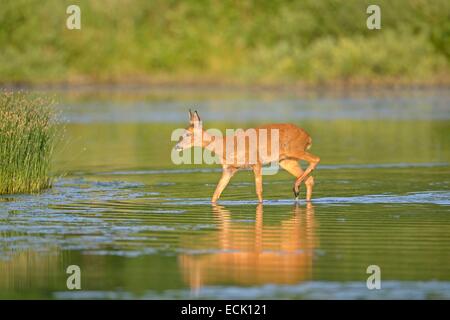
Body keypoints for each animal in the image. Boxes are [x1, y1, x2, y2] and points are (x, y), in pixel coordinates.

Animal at [173, 110, 320, 202]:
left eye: (187, 134)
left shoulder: (256, 163)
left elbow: (259, 191)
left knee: (316, 159)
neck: (225, 145)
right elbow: (216, 193)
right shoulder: (229, 169)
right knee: (310, 179)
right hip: (286, 160)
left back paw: (295, 187)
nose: (177, 147)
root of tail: (308, 137)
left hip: (294, 150)